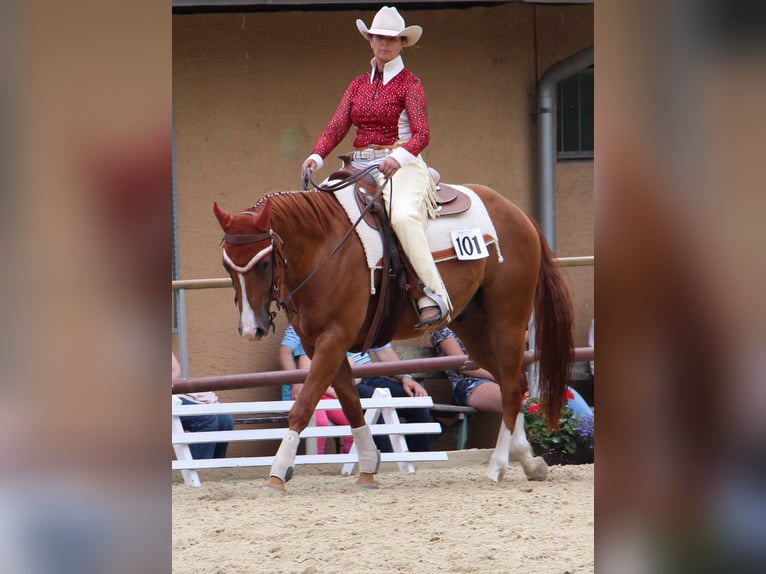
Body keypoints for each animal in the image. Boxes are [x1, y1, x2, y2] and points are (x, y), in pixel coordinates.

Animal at [213, 180, 572, 496]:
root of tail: (518, 213)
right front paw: (368, 467)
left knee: (511, 387)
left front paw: (276, 475)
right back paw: (528, 461)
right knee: (514, 382)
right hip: (475, 331)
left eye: (264, 264)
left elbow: (302, 407)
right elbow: (352, 405)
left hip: (508, 321)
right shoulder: (322, 346)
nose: (252, 328)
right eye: (227, 266)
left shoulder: (333, 340)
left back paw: (498, 464)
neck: (324, 248)